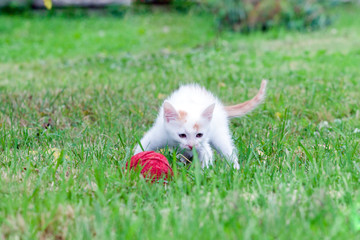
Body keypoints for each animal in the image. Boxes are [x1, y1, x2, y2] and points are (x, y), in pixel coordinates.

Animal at [134, 80, 266, 169]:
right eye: (182, 135)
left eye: (199, 135)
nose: (191, 145)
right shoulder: (160, 133)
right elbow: (143, 145)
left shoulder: (203, 144)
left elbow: (206, 156)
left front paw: (203, 172)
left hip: (219, 134)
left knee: (227, 149)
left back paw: (235, 169)